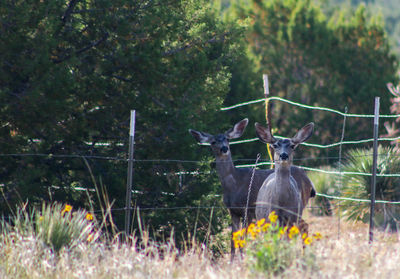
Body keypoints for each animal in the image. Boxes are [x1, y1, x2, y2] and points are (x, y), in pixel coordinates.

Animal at [189, 119, 318, 260]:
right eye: (213, 142)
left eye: (227, 139)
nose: (224, 148)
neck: (234, 183)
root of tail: (308, 179)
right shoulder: (233, 211)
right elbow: (233, 238)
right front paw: (232, 260)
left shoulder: (248, 208)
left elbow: (243, 236)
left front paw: (242, 257)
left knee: (303, 226)